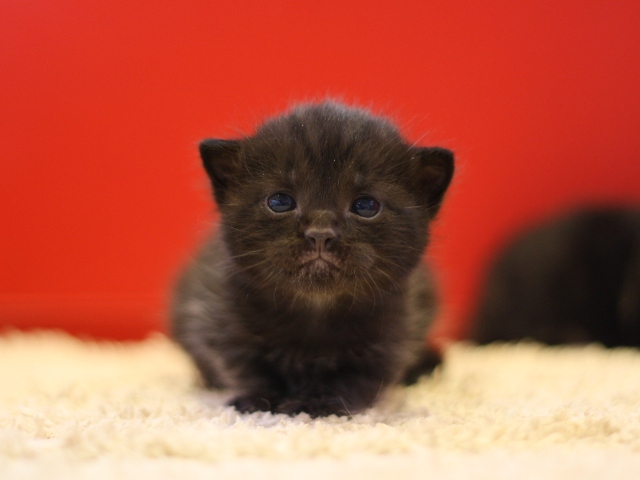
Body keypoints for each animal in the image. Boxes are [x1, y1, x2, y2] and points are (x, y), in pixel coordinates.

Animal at [169, 101, 450, 416]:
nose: (320, 233)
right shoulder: (221, 319)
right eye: (280, 202)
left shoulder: (389, 340)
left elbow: (354, 378)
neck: (315, 310)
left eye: (366, 205)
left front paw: (317, 402)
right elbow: (250, 368)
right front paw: (258, 398)